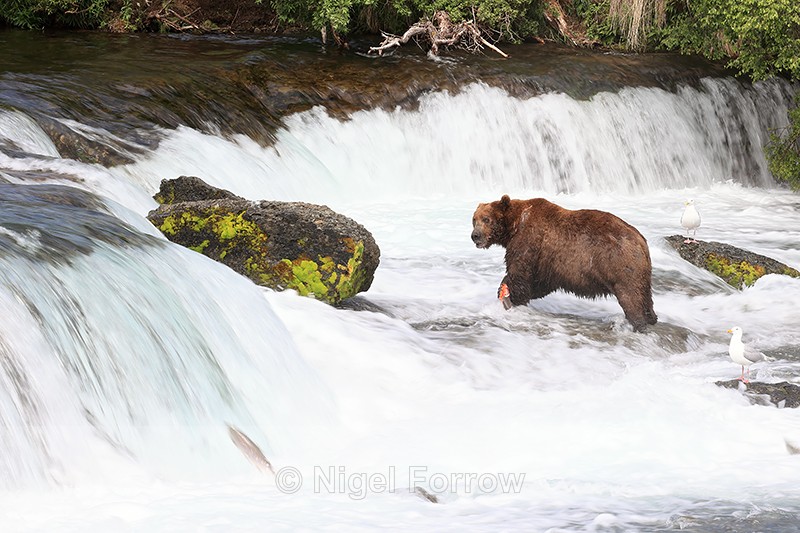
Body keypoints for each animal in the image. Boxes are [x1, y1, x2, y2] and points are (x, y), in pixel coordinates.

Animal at [471, 195, 657, 332]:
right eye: (474, 219)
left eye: (486, 219)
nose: (475, 235)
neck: (514, 226)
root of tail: (641, 240)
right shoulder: (548, 263)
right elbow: (539, 284)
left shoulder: (529, 242)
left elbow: (520, 275)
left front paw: (510, 297)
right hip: (642, 273)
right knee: (646, 297)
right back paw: (651, 318)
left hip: (620, 266)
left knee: (631, 297)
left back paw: (638, 324)